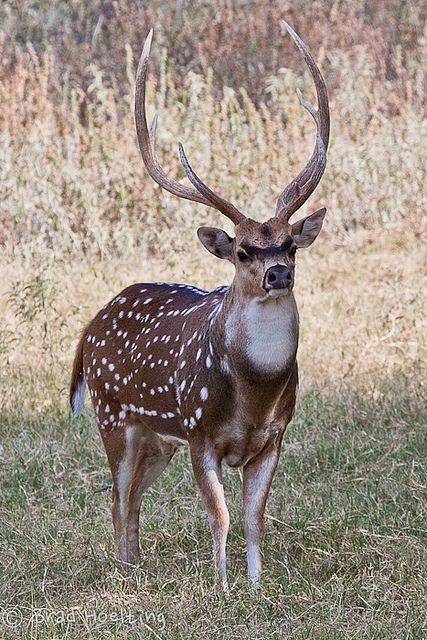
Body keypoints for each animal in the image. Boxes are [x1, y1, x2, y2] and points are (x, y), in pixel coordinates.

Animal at [70, 20, 332, 592]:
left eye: (290, 244)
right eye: (243, 250)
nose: (277, 273)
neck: (254, 395)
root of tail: (89, 327)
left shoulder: (275, 436)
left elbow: (255, 516)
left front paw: (257, 588)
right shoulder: (198, 432)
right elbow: (221, 515)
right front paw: (223, 587)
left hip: (157, 438)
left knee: (134, 498)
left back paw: (136, 566)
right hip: (112, 414)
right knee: (118, 498)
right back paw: (125, 574)